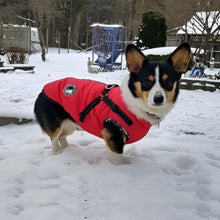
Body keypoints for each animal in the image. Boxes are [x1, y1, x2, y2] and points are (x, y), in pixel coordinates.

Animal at [34, 42, 191, 156]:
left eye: (168, 82)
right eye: (147, 82)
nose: (158, 99)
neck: (134, 103)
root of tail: (42, 91)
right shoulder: (113, 134)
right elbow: (118, 158)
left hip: (69, 124)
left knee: (62, 137)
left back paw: (68, 149)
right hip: (55, 125)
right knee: (55, 139)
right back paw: (57, 153)